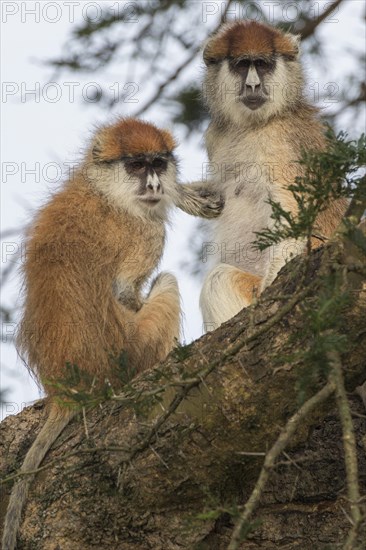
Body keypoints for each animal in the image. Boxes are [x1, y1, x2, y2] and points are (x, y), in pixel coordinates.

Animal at [1, 119, 223, 550]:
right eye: (136, 165)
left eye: (158, 163)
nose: (154, 184)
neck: (104, 190)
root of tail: (68, 390)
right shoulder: (143, 230)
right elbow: (123, 292)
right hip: (136, 350)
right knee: (166, 285)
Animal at [177, 21, 346, 330]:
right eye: (243, 65)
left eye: (264, 65)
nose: (253, 85)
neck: (254, 124)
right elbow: (220, 191)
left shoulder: (279, 145)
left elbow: (293, 218)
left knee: (220, 280)